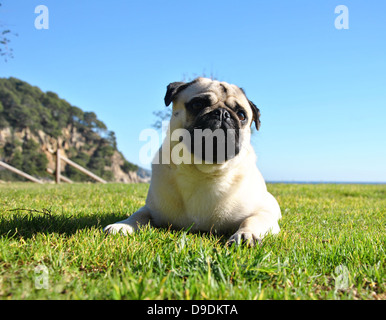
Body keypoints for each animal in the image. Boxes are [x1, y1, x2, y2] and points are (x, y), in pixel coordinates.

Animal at [105, 77, 280, 245]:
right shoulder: (151, 209)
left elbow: (252, 219)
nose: (222, 113)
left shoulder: (264, 212)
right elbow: (138, 215)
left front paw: (245, 234)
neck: (202, 171)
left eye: (242, 115)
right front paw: (123, 225)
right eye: (197, 104)